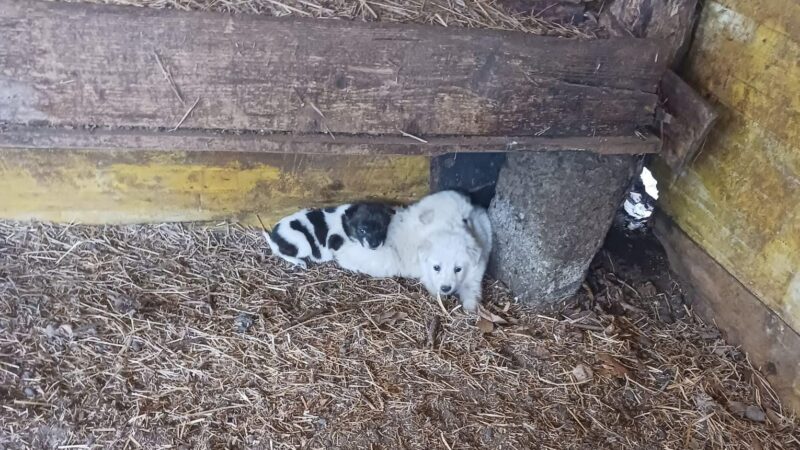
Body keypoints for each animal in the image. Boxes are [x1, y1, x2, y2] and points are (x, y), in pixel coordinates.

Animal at [268, 203, 396, 268]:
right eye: (362, 230)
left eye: (383, 228)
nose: (375, 245)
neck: (345, 223)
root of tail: (274, 238)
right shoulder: (334, 240)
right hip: (303, 244)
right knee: (280, 252)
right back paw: (299, 262)